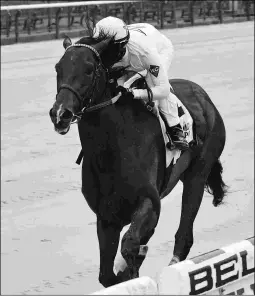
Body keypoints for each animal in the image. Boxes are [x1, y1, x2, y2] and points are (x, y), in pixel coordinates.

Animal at [49, 33, 227, 288]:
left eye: (89, 69)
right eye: (58, 68)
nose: (60, 113)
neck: (112, 150)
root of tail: (204, 97)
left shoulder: (149, 202)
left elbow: (131, 244)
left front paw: (132, 267)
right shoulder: (106, 217)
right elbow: (107, 275)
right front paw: (124, 272)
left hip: (197, 175)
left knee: (184, 234)